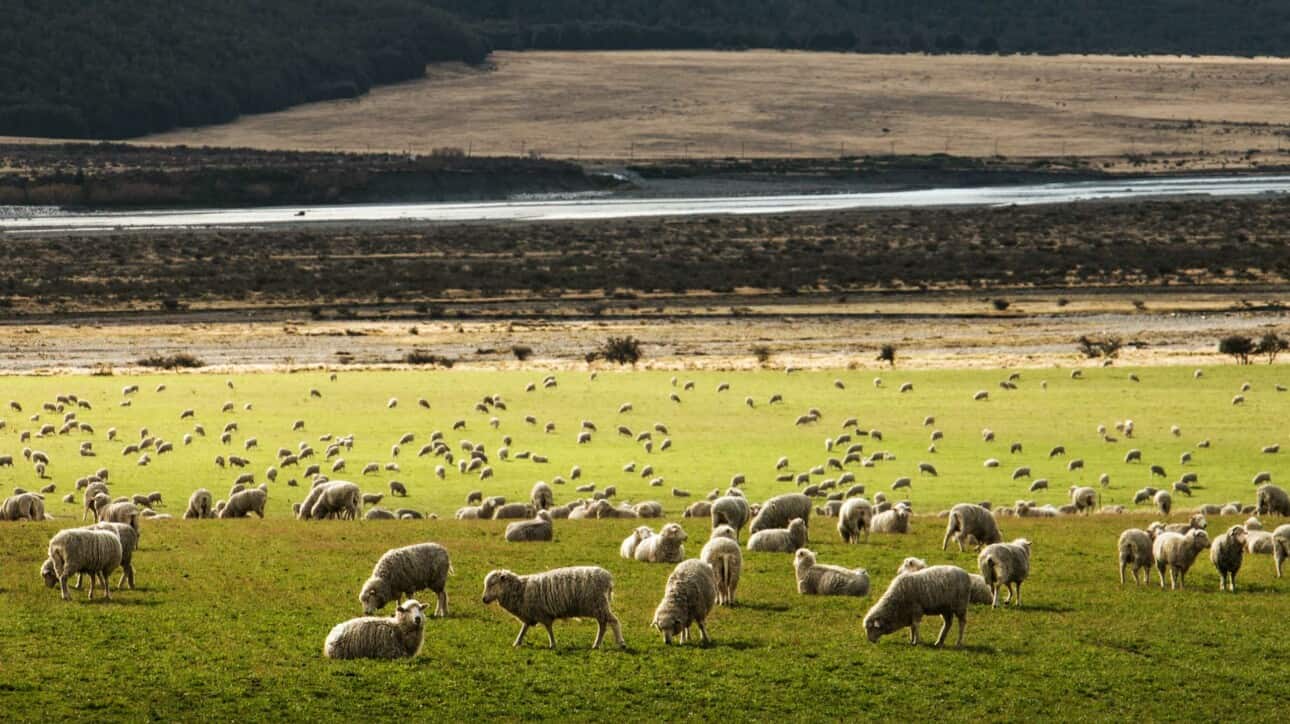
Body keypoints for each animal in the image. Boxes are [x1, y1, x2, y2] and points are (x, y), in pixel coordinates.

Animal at [481, 566, 625, 649]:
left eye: (492, 584)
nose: (484, 599)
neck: (520, 589)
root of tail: (608, 578)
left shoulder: (542, 613)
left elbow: (548, 628)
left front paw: (553, 644)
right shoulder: (529, 614)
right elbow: (524, 628)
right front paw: (517, 642)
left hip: (599, 604)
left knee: (613, 621)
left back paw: (621, 642)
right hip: (598, 607)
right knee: (603, 625)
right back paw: (596, 644)